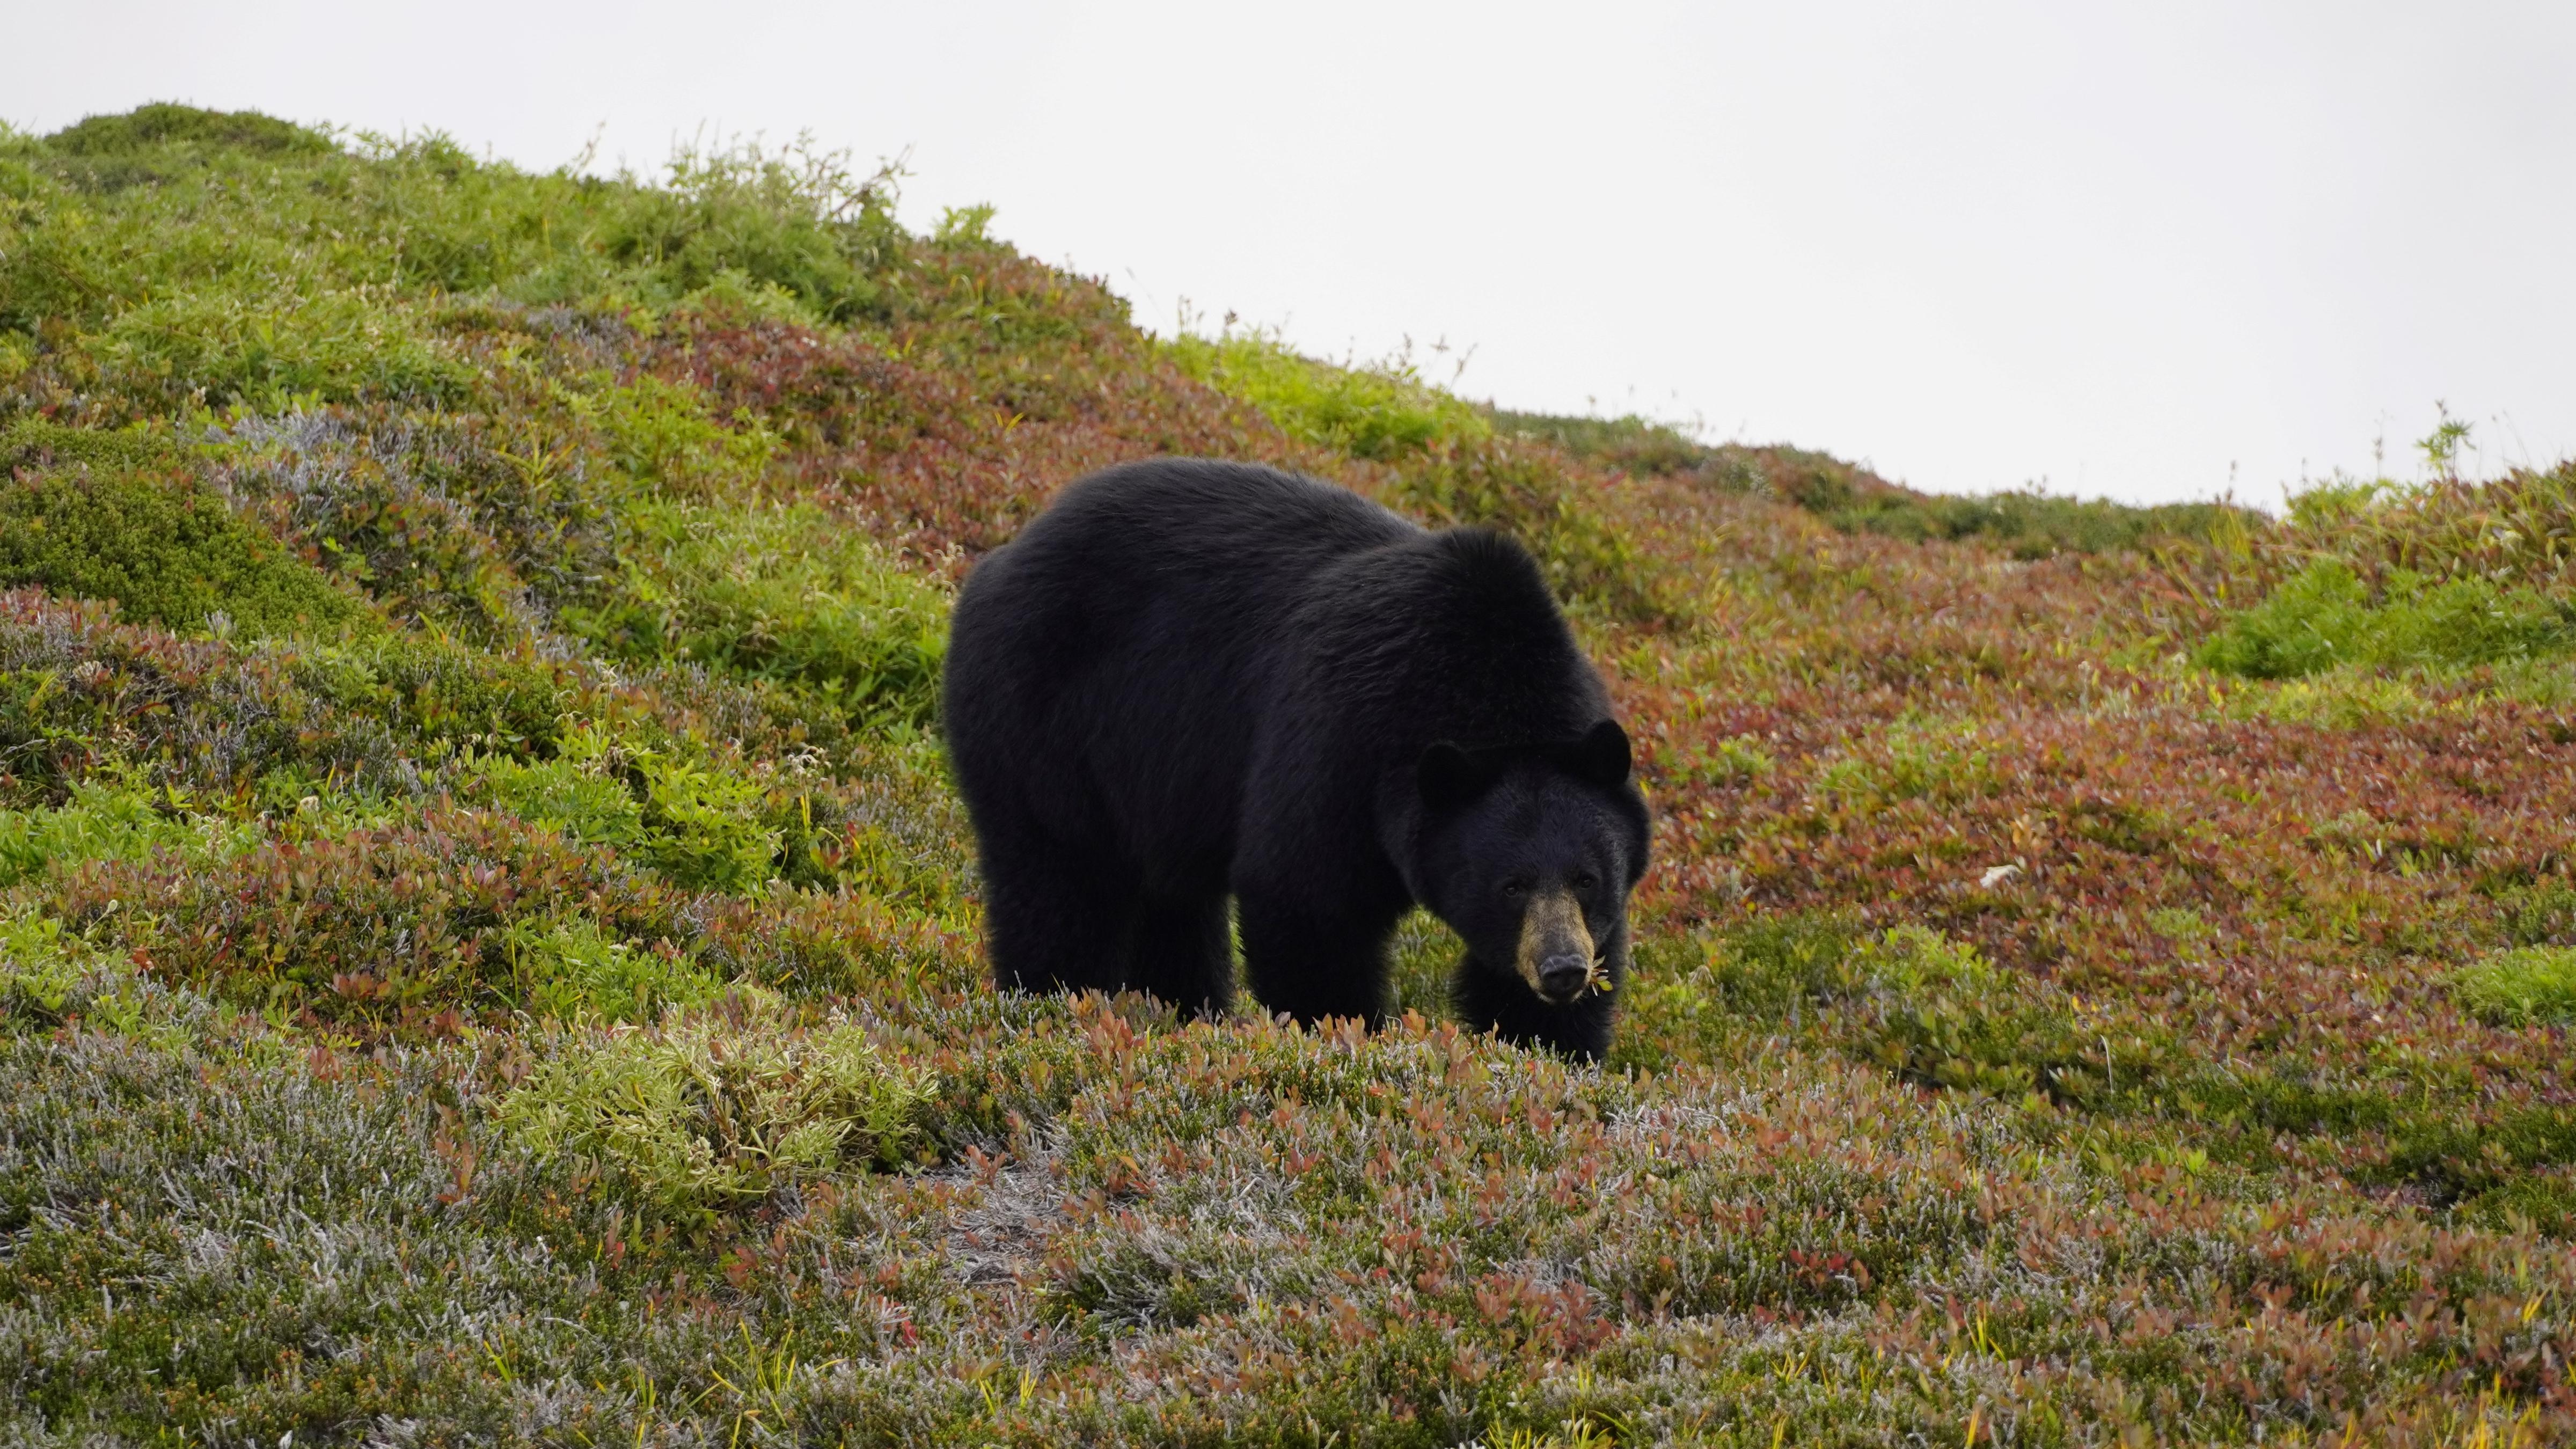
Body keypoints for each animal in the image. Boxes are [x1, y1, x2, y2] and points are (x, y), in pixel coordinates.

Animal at [941, 458, 1650, 1060]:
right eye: (1511, 884)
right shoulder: (1338, 738)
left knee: (1172, 904)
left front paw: (1552, 1049)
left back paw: (1187, 1011)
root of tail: (1005, 553)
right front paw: (1347, 1034)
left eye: (1587, 877)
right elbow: (1308, 903)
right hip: (1039, 720)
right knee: (1059, 881)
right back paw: (1051, 1001)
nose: (1563, 970)